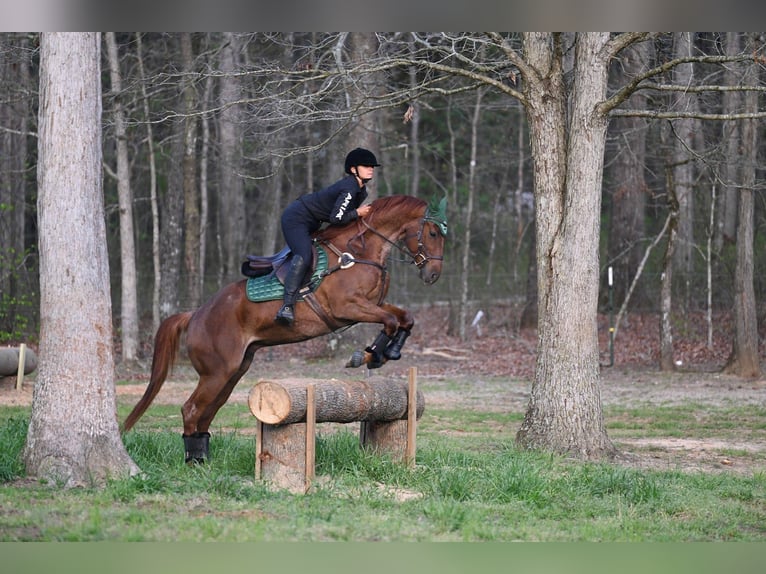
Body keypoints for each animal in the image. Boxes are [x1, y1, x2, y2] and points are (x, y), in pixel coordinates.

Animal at [122, 194, 448, 463]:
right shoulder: (347, 308)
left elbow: (405, 318)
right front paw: (369, 356)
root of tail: (196, 314)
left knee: (206, 414)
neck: (360, 251)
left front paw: (387, 352)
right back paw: (195, 464)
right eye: (432, 233)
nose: (433, 275)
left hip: (232, 372)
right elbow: (391, 321)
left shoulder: (372, 305)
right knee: (191, 409)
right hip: (217, 373)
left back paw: (204, 459)